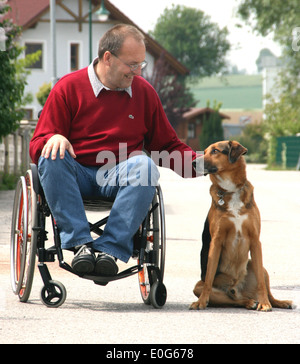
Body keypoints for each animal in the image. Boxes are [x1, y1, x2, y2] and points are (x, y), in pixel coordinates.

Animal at [190, 141, 292, 312]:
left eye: (215, 151)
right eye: (204, 152)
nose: (193, 163)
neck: (231, 191)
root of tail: (237, 287)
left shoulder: (255, 240)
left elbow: (261, 284)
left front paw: (265, 303)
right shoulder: (216, 241)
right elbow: (209, 278)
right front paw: (201, 302)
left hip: (260, 267)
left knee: (265, 290)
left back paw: (277, 302)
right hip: (198, 286)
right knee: (234, 300)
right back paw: (249, 302)